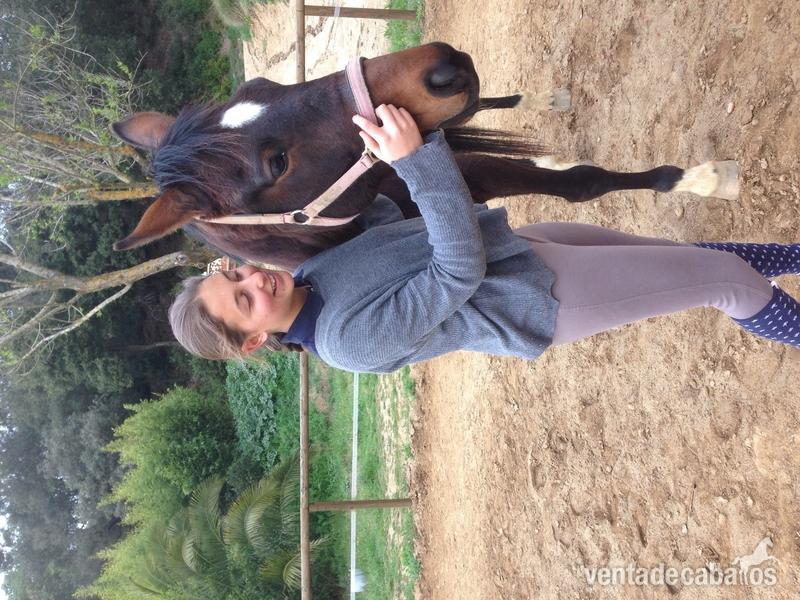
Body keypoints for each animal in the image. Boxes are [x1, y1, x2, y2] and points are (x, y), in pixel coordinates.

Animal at [110, 42, 739, 271]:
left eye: (264, 84)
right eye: (276, 164)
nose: (441, 68)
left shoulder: (451, 165)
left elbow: (581, 180)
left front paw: (700, 178)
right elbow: (578, 184)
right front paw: (703, 180)